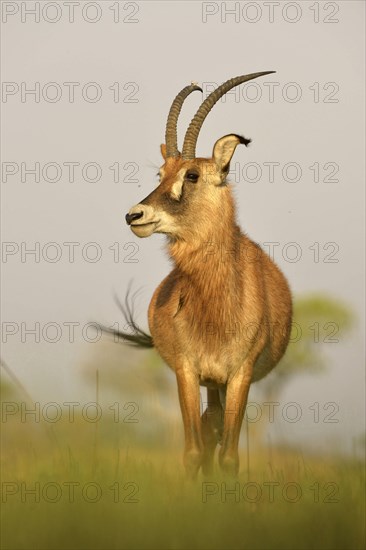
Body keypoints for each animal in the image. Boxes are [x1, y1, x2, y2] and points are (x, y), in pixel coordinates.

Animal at [115, 73, 292, 478]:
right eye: (161, 173)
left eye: (192, 174)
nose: (135, 215)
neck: (216, 306)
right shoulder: (187, 372)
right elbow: (195, 451)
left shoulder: (240, 375)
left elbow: (228, 456)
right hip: (210, 383)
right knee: (208, 428)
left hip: (222, 383)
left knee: (215, 430)